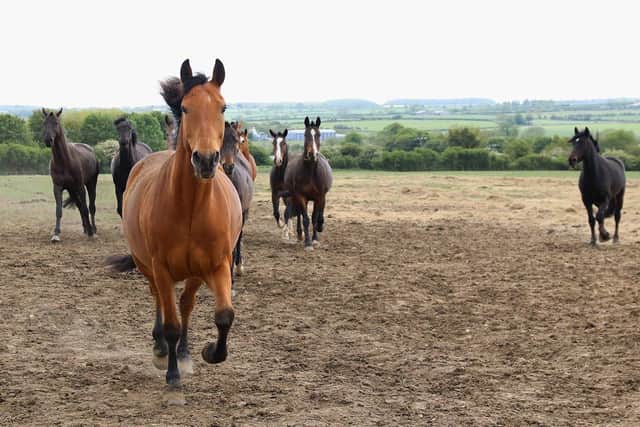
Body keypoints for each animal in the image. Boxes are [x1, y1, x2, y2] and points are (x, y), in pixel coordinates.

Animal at [42, 108, 99, 242]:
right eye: (44, 123)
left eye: (56, 123)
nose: (48, 140)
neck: (64, 161)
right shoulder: (57, 187)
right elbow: (59, 210)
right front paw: (56, 234)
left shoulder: (80, 187)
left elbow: (86, 208)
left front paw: (91, 232)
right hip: (72, 190)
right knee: (79, 206)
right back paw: (86, 228)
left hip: (91, 184)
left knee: (91, 206)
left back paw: (93, 229)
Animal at [106, 59, 242, 403]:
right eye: (185, 107)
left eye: (222, 107)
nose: (206, 160)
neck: (191, 208)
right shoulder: (162, 267)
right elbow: (169, 324)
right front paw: (171, 375)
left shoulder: (218, 266)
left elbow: (224, 315)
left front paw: (208, 352)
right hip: (147, 266)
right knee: (159, 300)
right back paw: (160, 350)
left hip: (194, 274)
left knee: (186, 305)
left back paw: (183, 352)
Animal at [283, 117, 333, 249]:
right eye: (305, 135)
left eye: (319, 135)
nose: (312, 154)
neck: (311, 173)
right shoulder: (301, 196)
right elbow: (305, 218)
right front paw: (307, 242)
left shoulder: (319, 197)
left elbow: (315, 217)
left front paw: (314, 239)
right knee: (300, 214)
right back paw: (300, 235)